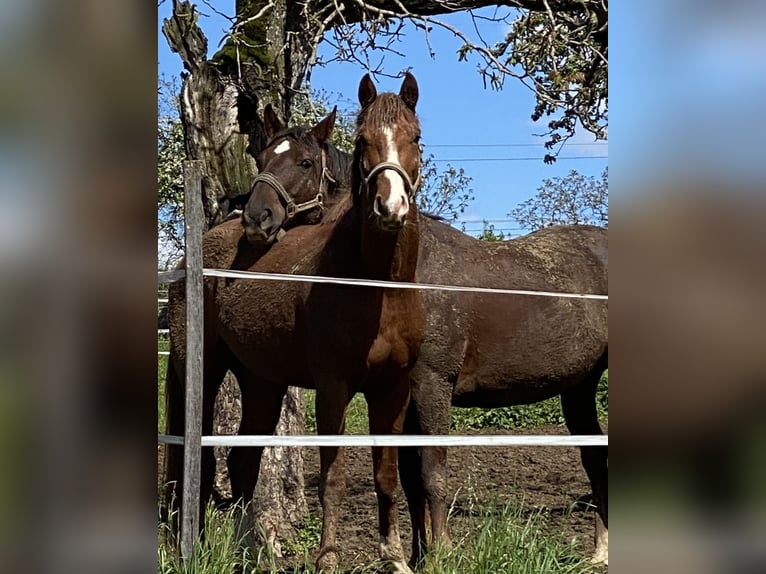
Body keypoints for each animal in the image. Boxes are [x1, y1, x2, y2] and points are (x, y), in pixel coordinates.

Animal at [166, 74, 426, 572]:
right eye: (362, 142)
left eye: (416, 138)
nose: (390, 207)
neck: (375, 285)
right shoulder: (333, 387)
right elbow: (333, 476)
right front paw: (328, 557)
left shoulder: (393, 389)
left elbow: (386, 476)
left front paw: (395, 557)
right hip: (200, 369)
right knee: (195, 457)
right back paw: (190, 545)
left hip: (261, 382)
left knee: (241, 463)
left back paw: (254, 552)